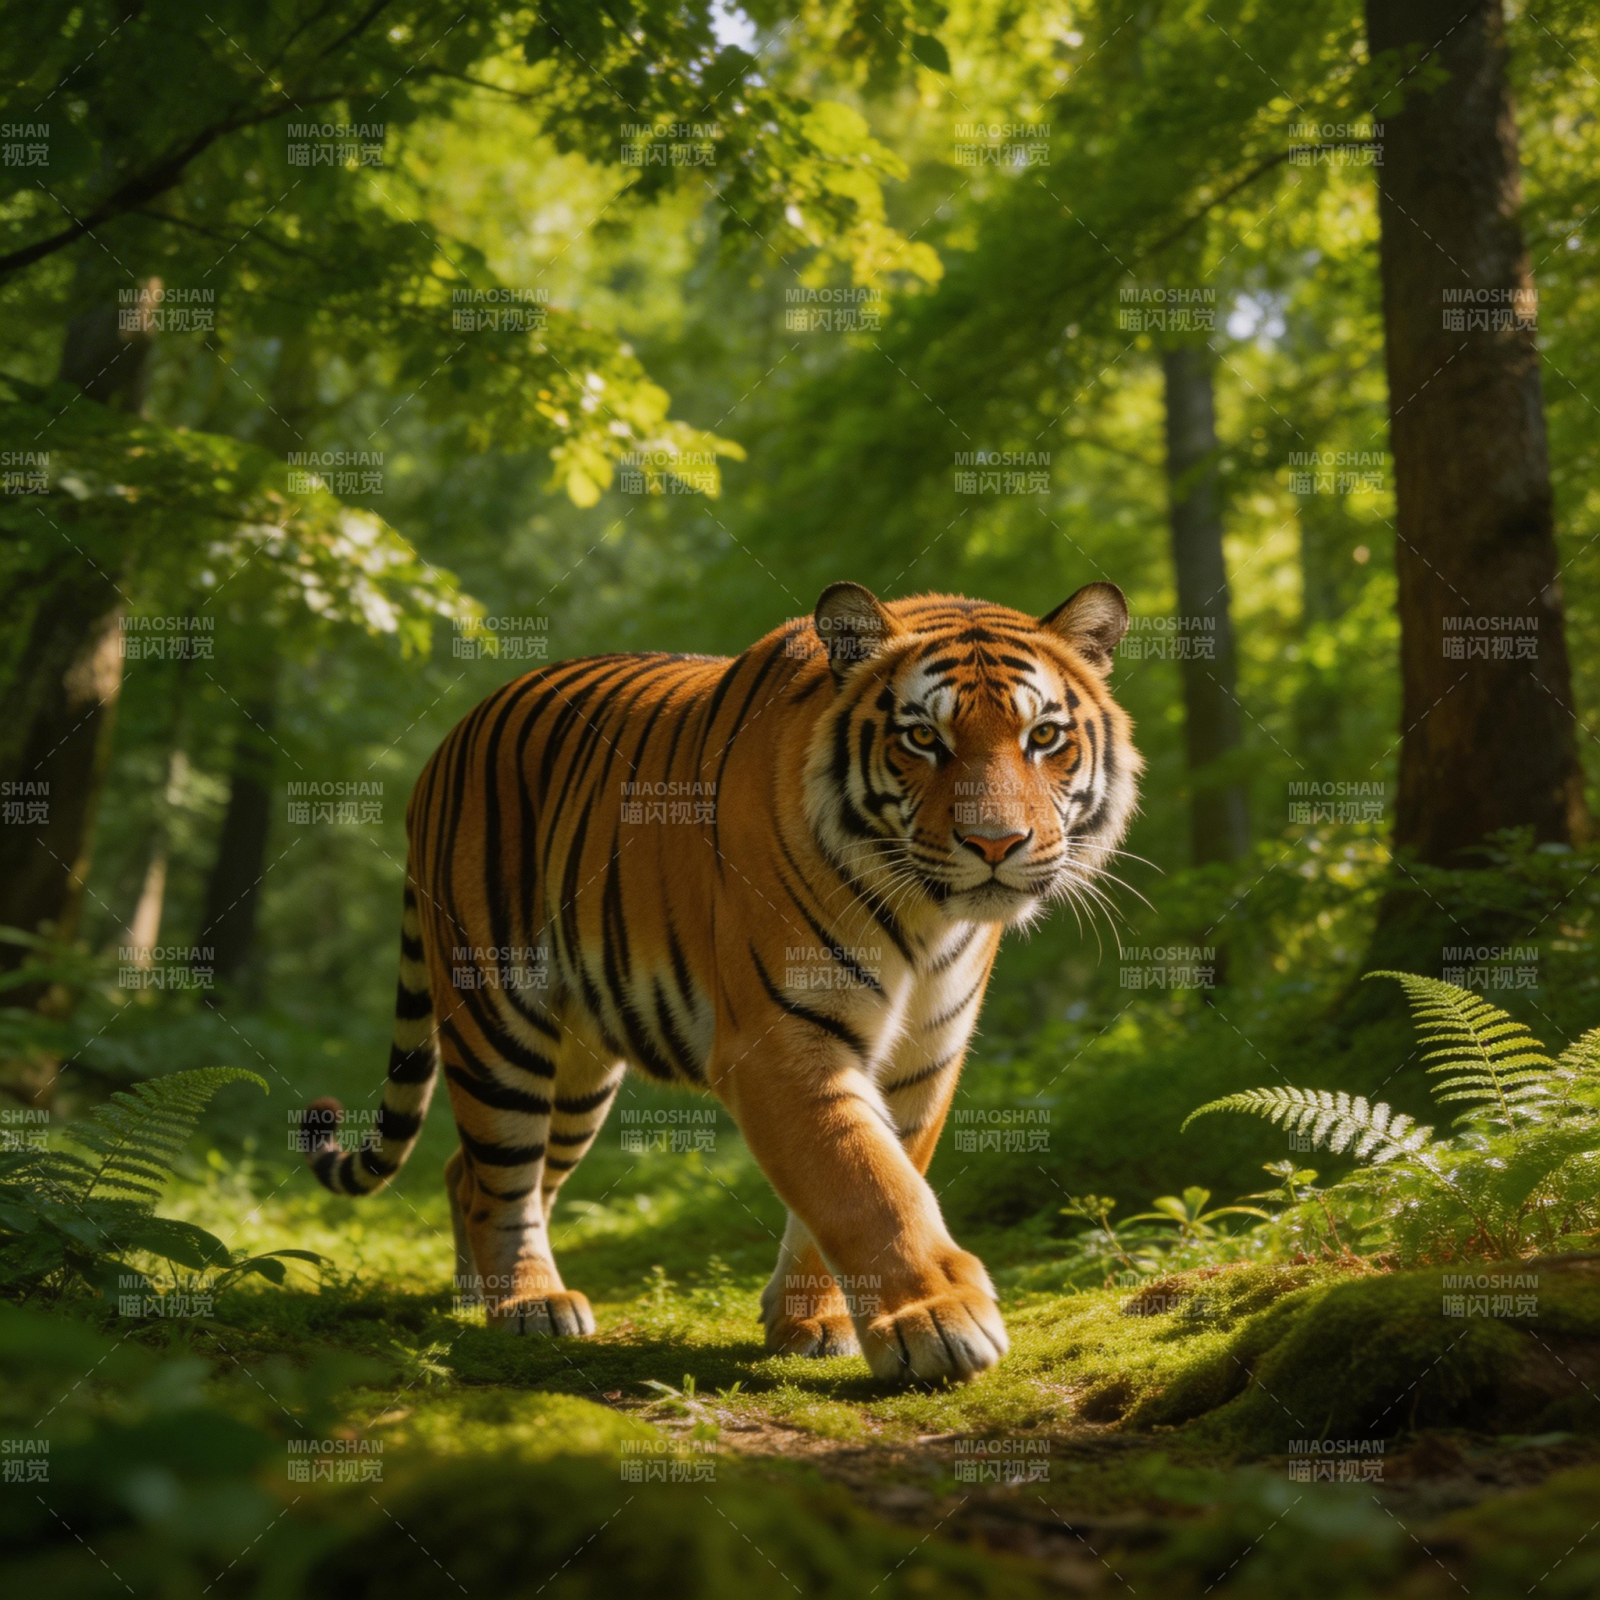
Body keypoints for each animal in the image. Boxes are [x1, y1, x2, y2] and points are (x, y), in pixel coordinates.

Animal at [302, 581, 1140, 1383]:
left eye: (1044, 736)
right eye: (923, 737)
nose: (996, 844)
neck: (927, 920)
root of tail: (447, 743)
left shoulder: (921, 1059)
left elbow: (861, 1177)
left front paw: (811, 1324)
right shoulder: (780, 1040)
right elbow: (868, 1185)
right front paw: (936, 1323)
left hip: (578, 1075)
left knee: (471, 1172)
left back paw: (473, 1296)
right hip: (497, 1017)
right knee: (502, 1178)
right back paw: (529, 1304)